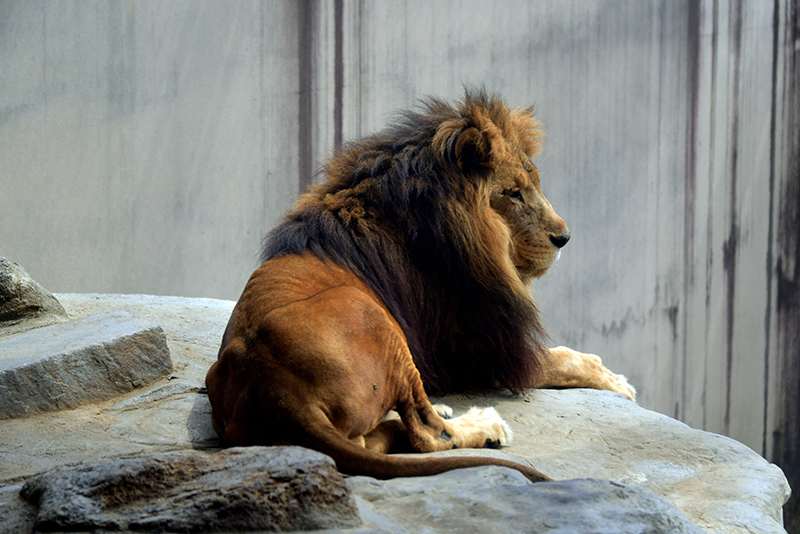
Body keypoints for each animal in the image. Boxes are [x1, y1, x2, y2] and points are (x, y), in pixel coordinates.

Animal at [205, 90, 632, 484]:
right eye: (512, 193)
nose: (564, 237)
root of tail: (278, 389)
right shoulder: (479, 350)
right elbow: (562, 360)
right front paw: (614, 379)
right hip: (382, 325)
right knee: (426, 434)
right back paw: (485, 425)